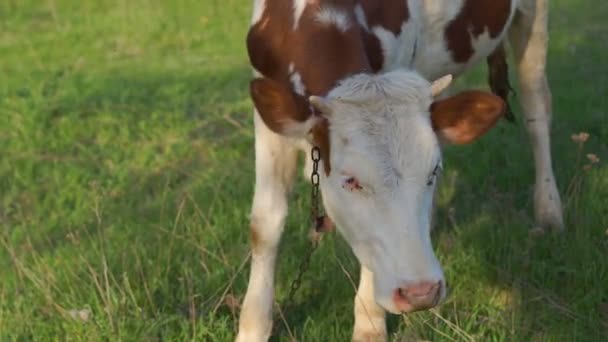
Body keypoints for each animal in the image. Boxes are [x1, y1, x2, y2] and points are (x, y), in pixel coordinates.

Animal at [236, 1, 560, 340]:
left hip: (532, 19)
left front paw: (369, 324)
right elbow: (265, 225)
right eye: (351, 180)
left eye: (432, 173)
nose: (421, 292)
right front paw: (253, 326)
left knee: (537, 108)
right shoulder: (270, 117)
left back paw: (549, 210)